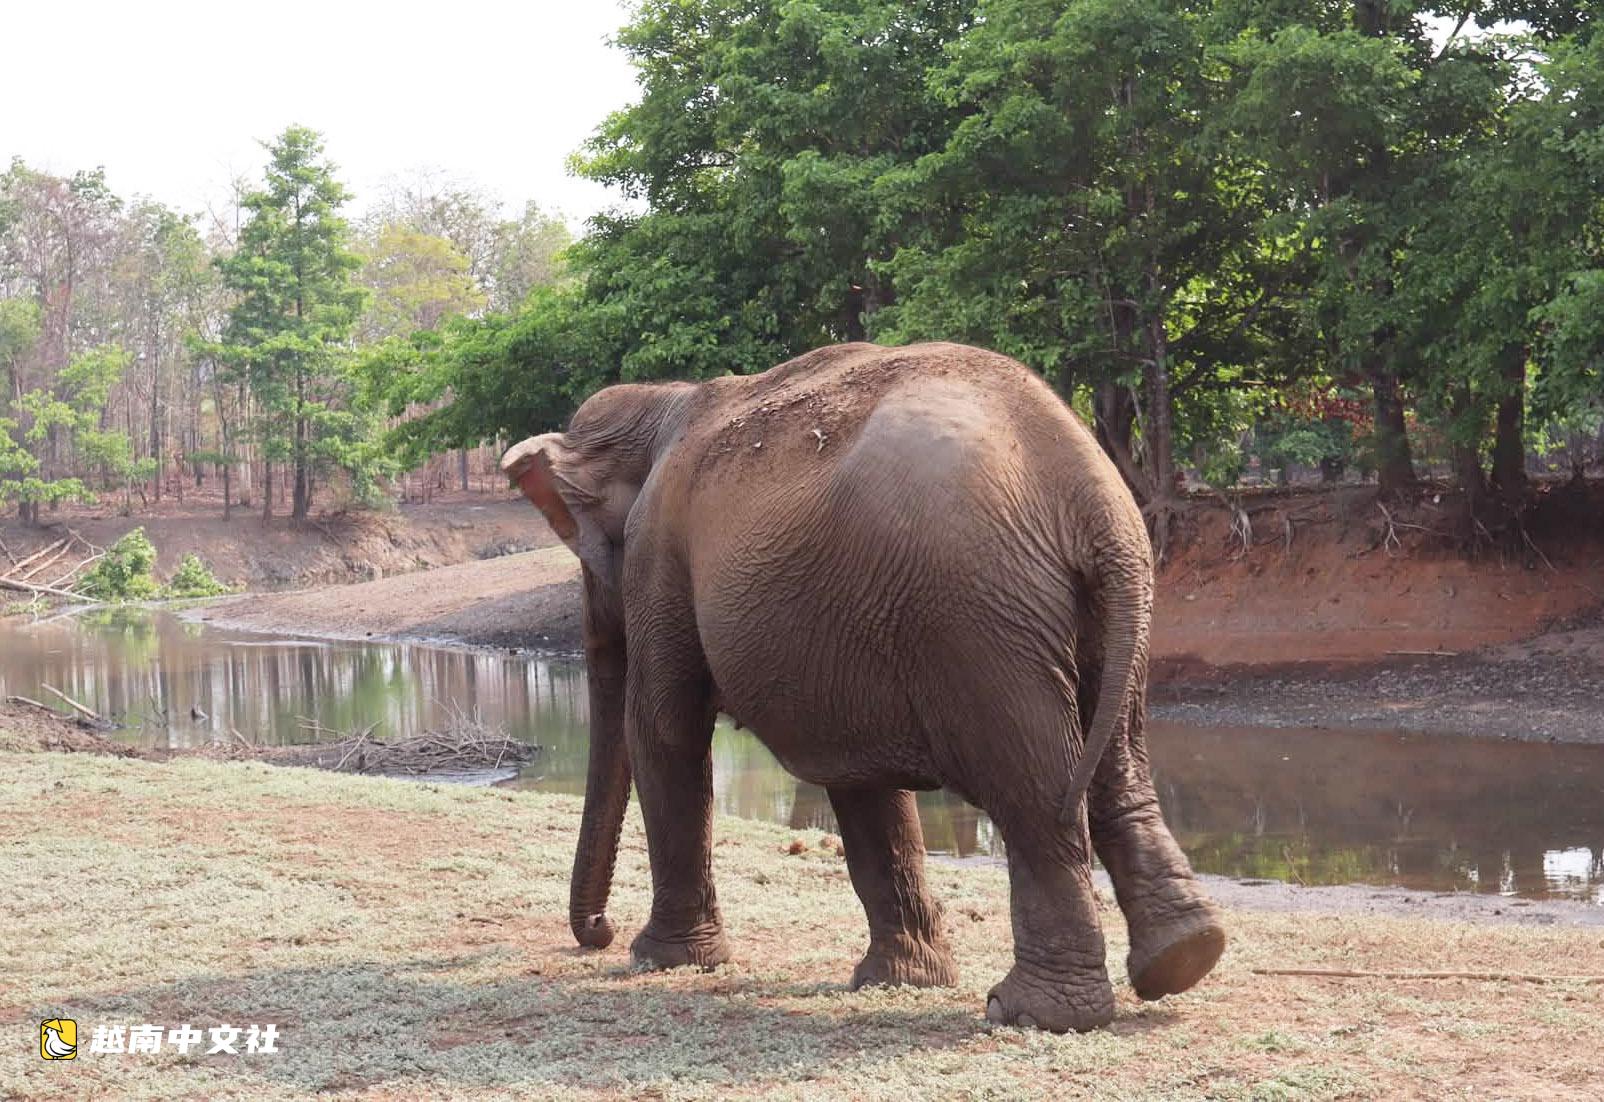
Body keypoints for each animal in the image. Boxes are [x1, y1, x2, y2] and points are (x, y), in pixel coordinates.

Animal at [501, 341, 1224, 1032]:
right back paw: (1183, 957)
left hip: (973, 619)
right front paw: (901, 980)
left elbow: (664, 729)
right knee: (1116, 767)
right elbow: (858, 775)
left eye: (587, 560)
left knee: (1035, 791)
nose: (598, 933)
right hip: (1090, 615)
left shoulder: (660, 551)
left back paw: (1030, 1013)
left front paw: (660, 959)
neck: (661, 403)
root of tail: (1087, 488)